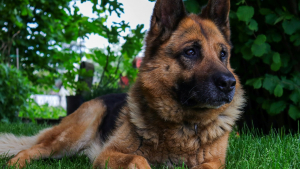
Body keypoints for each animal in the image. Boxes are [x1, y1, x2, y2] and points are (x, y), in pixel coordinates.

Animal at [0, 0, 244, 168]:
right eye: (191, 52)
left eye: (223, 54)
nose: (229, 83)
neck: (182, 126)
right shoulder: (107, 155)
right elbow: (137, 158)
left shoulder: (214, 163)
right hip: (70, 137)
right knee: (34, 149)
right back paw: (16, 163)